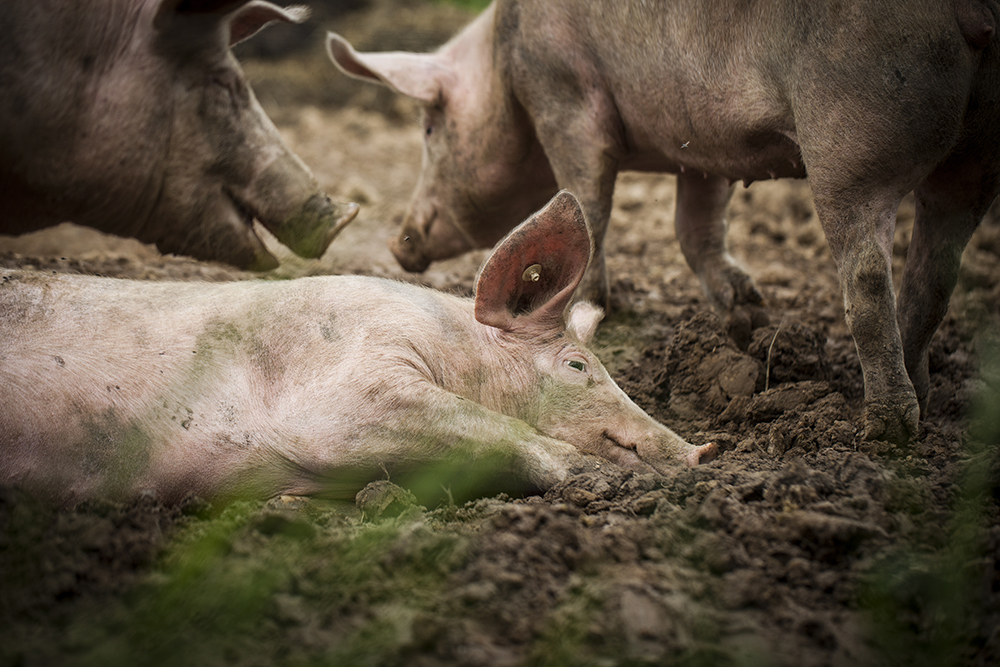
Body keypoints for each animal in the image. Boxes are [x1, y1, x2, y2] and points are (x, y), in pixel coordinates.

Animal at [328, 1, 1000, 448]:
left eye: (429, 128)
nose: (398, 243)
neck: (502, 57)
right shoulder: (701, 142)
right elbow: (695, 227)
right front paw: (744, 312)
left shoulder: (562, 96)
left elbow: (588, 198)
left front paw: (598, 300)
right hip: (974, 157)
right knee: (936, 274)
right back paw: (923, 397)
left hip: (853, 132)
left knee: (865, 275)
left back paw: (885, 428)